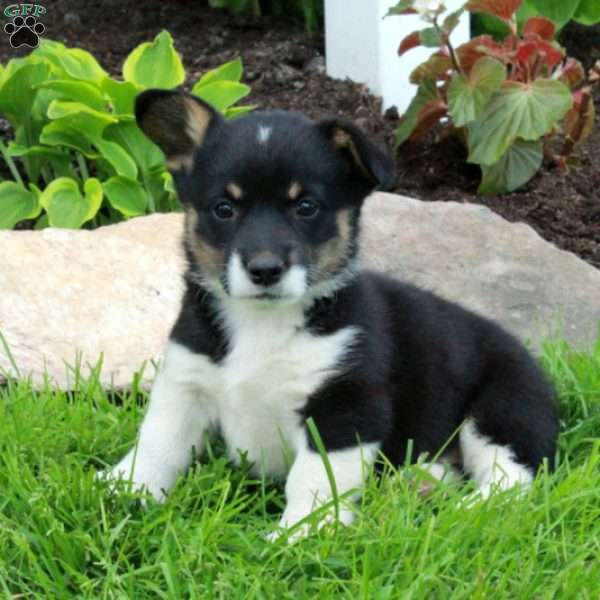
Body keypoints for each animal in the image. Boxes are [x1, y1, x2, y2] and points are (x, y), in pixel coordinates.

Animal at [105, 90, 560, 540]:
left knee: (511, 482)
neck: (262, 323)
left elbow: (313, 480)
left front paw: (300, 534)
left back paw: (457, 511)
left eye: (306, 206)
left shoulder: (345, 406)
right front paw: (124, 488)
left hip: (501, 411)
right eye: (223, 208)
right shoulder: (186, 384)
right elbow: (157, 444)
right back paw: (421, 483)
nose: (265, 270)